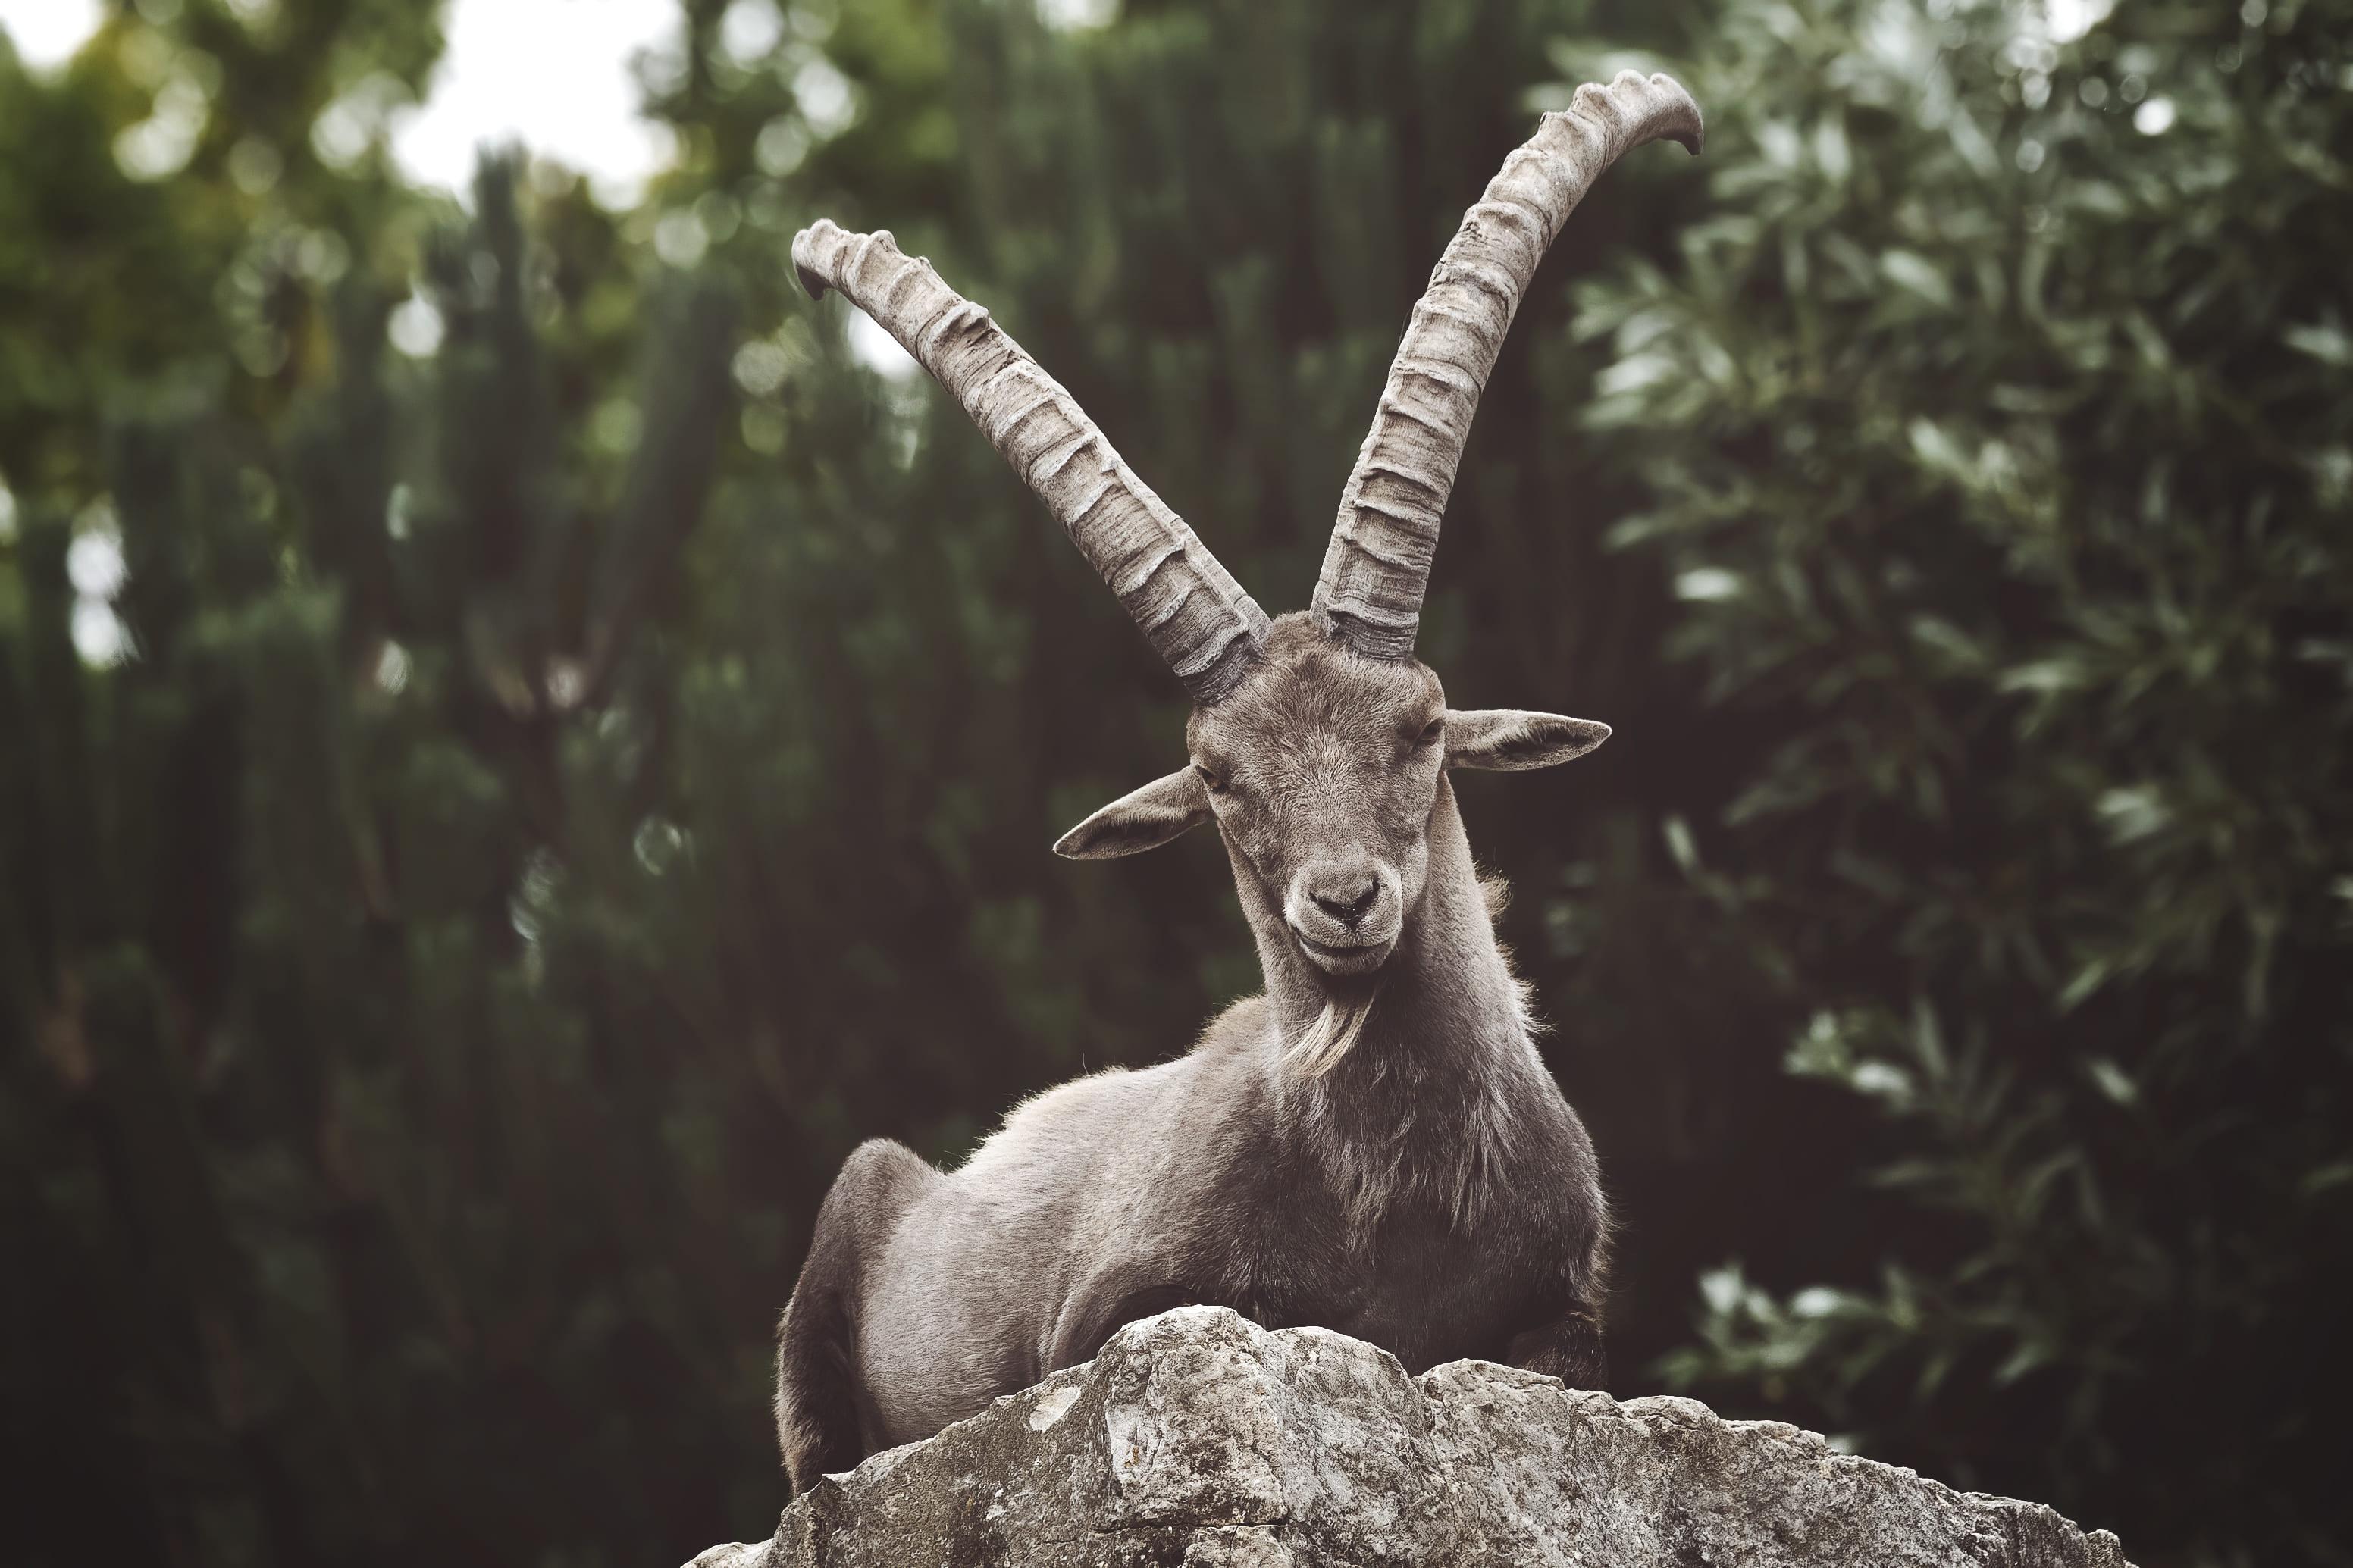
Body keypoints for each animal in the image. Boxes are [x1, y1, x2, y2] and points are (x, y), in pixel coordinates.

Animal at [775, 72, 1702, 1492]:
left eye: (1423, 723)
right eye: (1215, 774)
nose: (1344, 900)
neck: (1401, 1191)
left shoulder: (1565, 1297)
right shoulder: (1103, 1318)